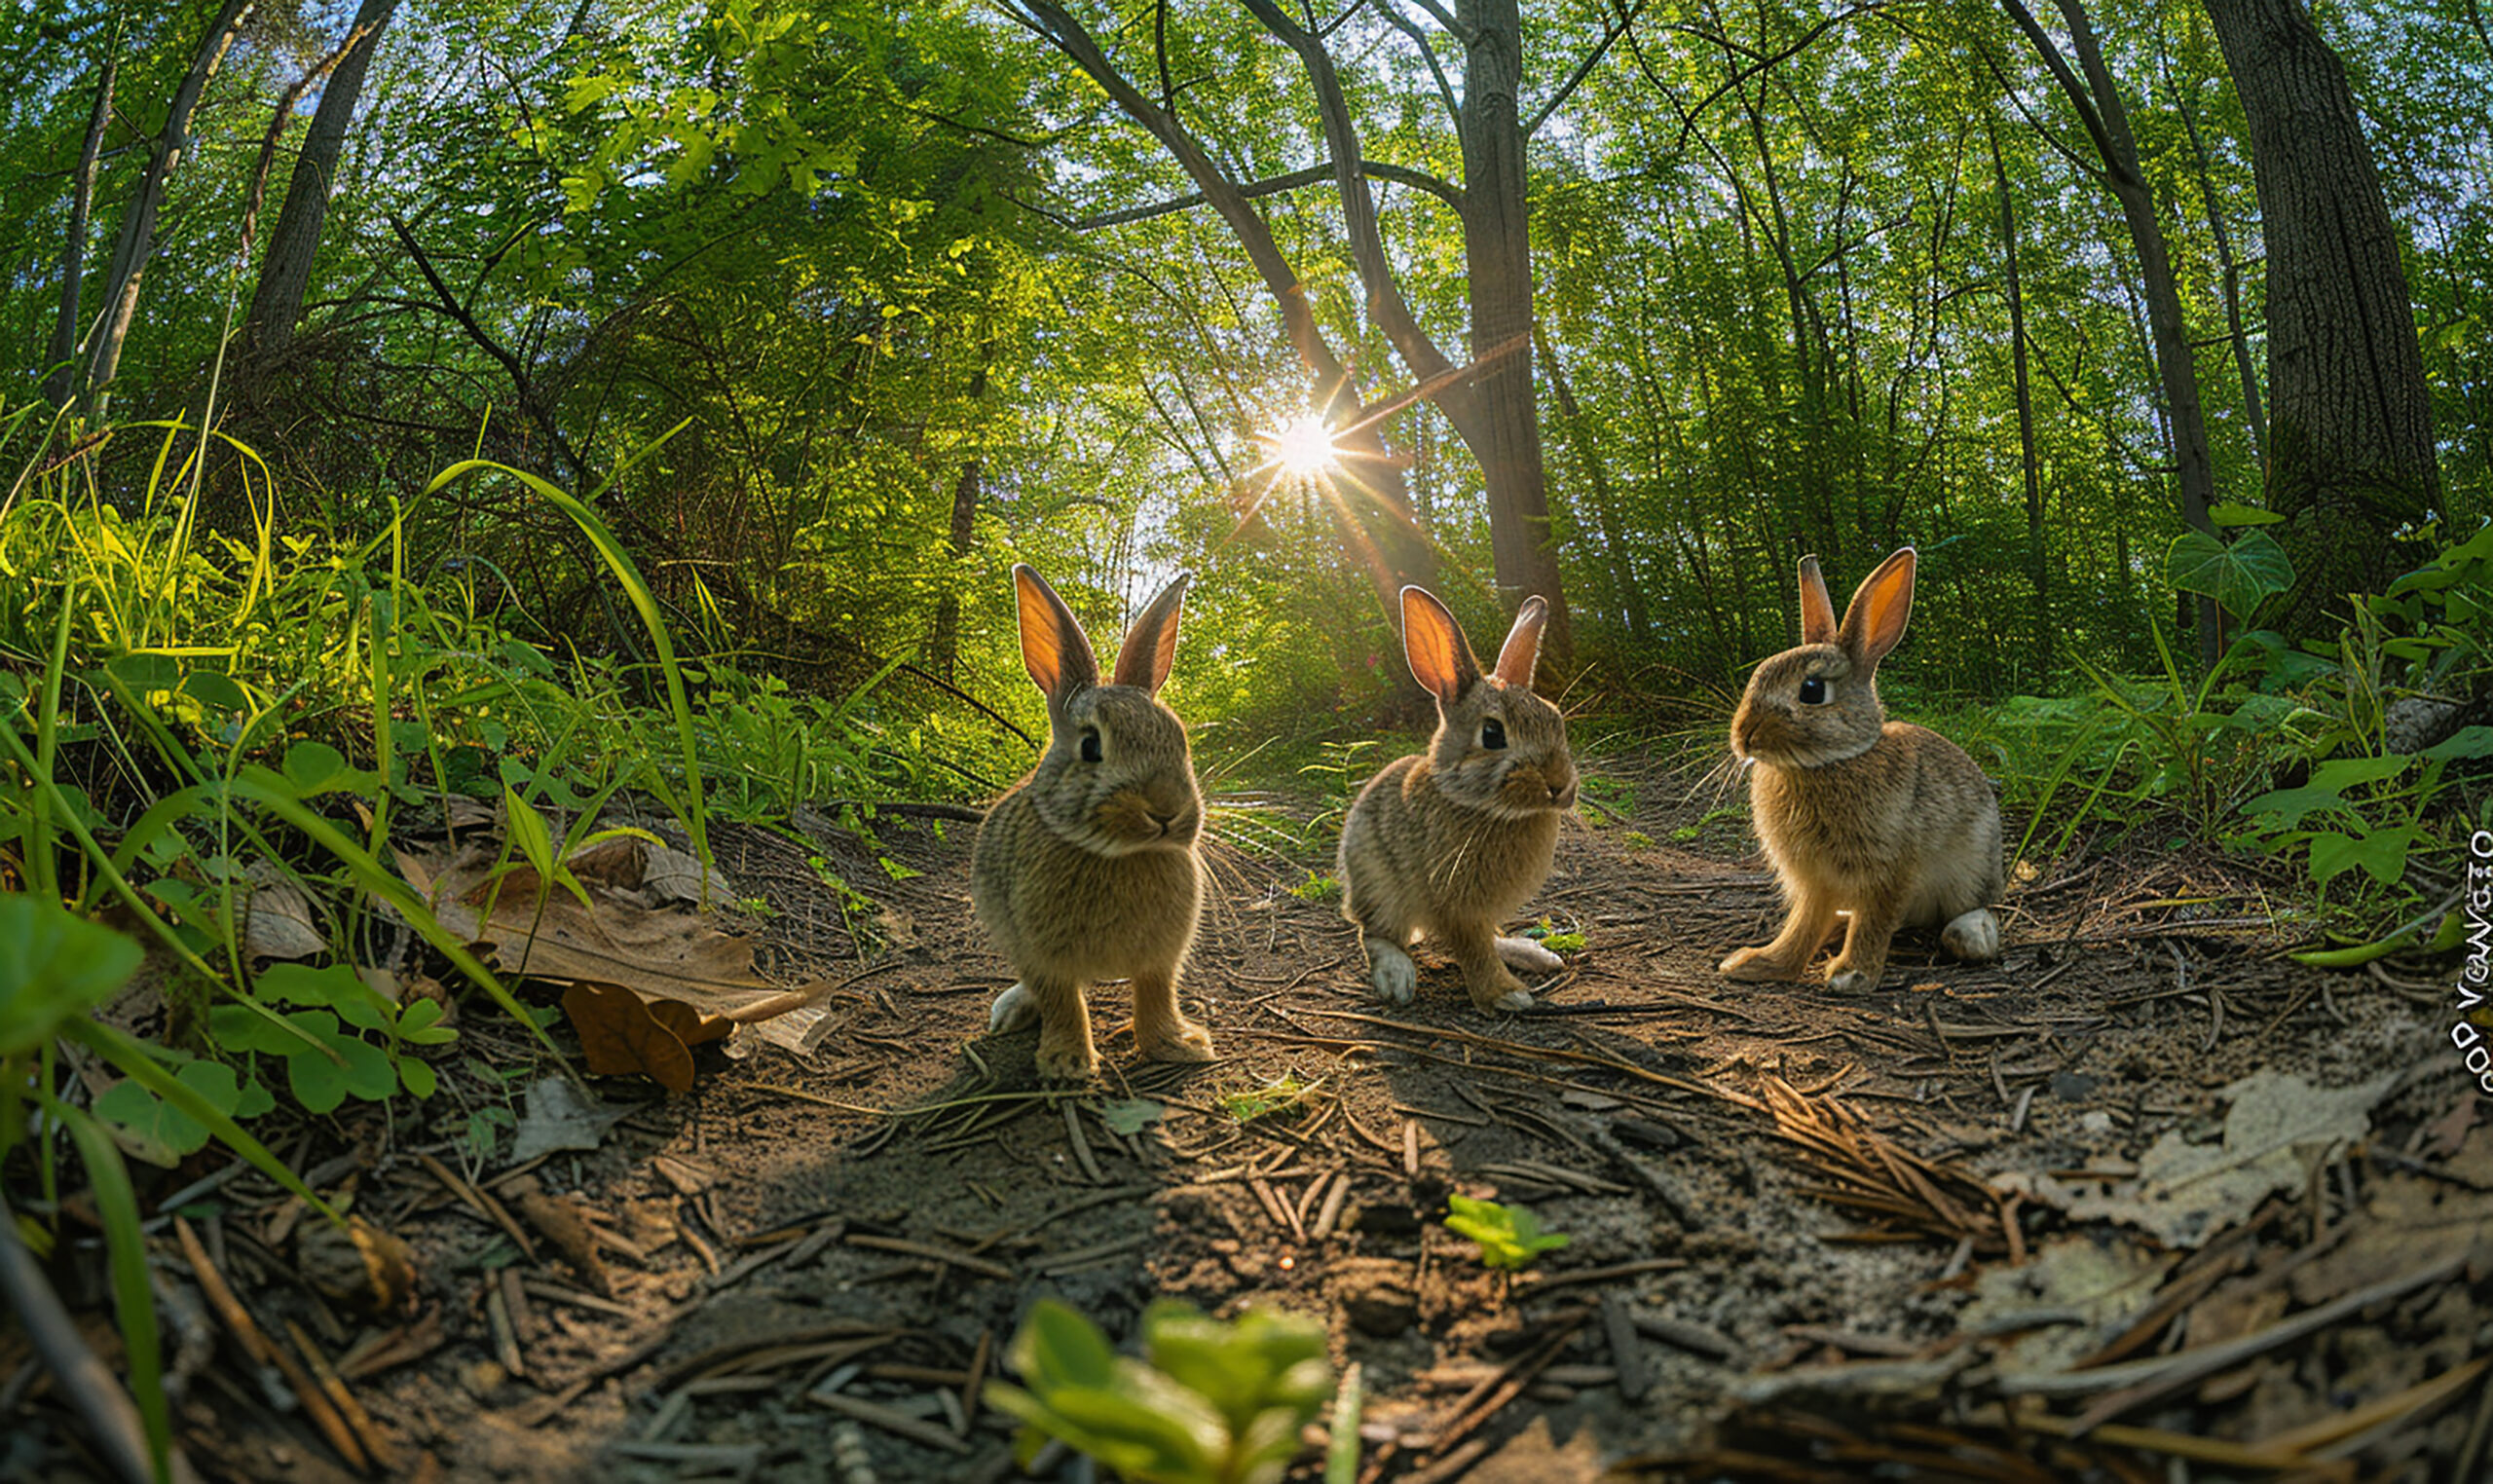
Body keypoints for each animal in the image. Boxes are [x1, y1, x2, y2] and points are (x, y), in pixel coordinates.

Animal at [967, 566, 1211, 1082]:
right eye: (1091, 747)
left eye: (1179, 738)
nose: (1166, 810)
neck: (1117, 854)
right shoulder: (1043, 955)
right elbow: (1062, 1001)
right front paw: (1067, 1063)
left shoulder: (1161, 960)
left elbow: (1156, 996)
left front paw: (1179, 1046)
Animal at [1346, 585, 1575, 1018]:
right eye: (1492, 734)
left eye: (1556, 720)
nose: (1558, 785)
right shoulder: (1453, 904)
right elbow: (1472, 949)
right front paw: (1504, 994)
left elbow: (1481, 942)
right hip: (1377, 885)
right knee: (1375, 933)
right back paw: (1396, 977)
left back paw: (1534, 954)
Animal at [1715, 548, 2004, 997]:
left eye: (1812, 690)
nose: (1743, 736)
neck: (1830, 762)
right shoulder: (1814, 880)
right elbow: (1802, 923)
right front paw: (1755, 963)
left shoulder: (1889, 868)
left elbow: (1875, 919)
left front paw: (1851, 975)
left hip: (1973, 873)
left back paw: (1972, 934)